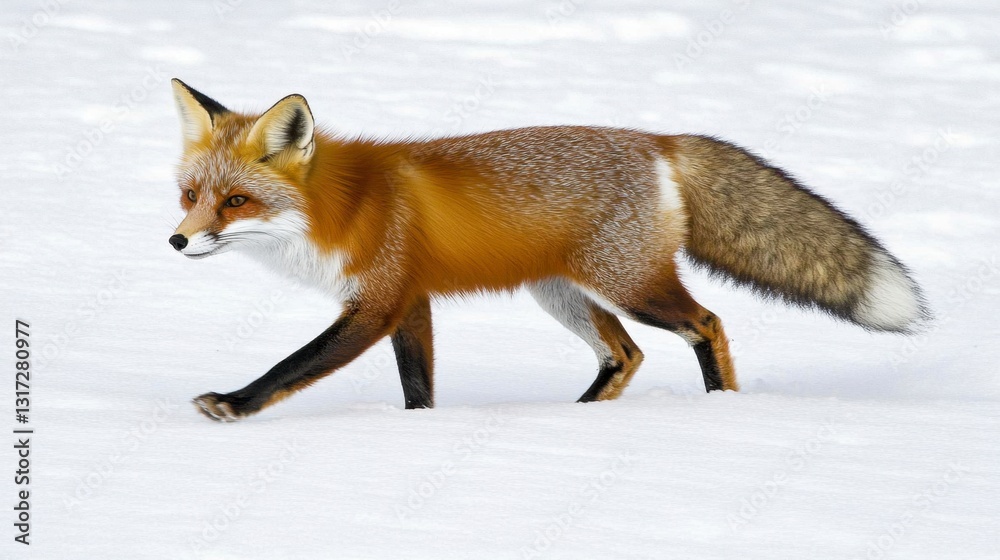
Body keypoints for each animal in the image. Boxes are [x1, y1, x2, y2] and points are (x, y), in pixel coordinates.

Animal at [167, 79, 928, 422]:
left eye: (236, 202)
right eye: (191, 195)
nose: (177, 240)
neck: (340, 210)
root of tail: (658, 139)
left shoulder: (379, 301)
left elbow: (293, 364)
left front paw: (232, 403)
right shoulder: (411, 302)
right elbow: (419, 390)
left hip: (628, 284)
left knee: (705, 325)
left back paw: (718, 411)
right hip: (561, 292)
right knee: (626, 354)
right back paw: (579, 418)